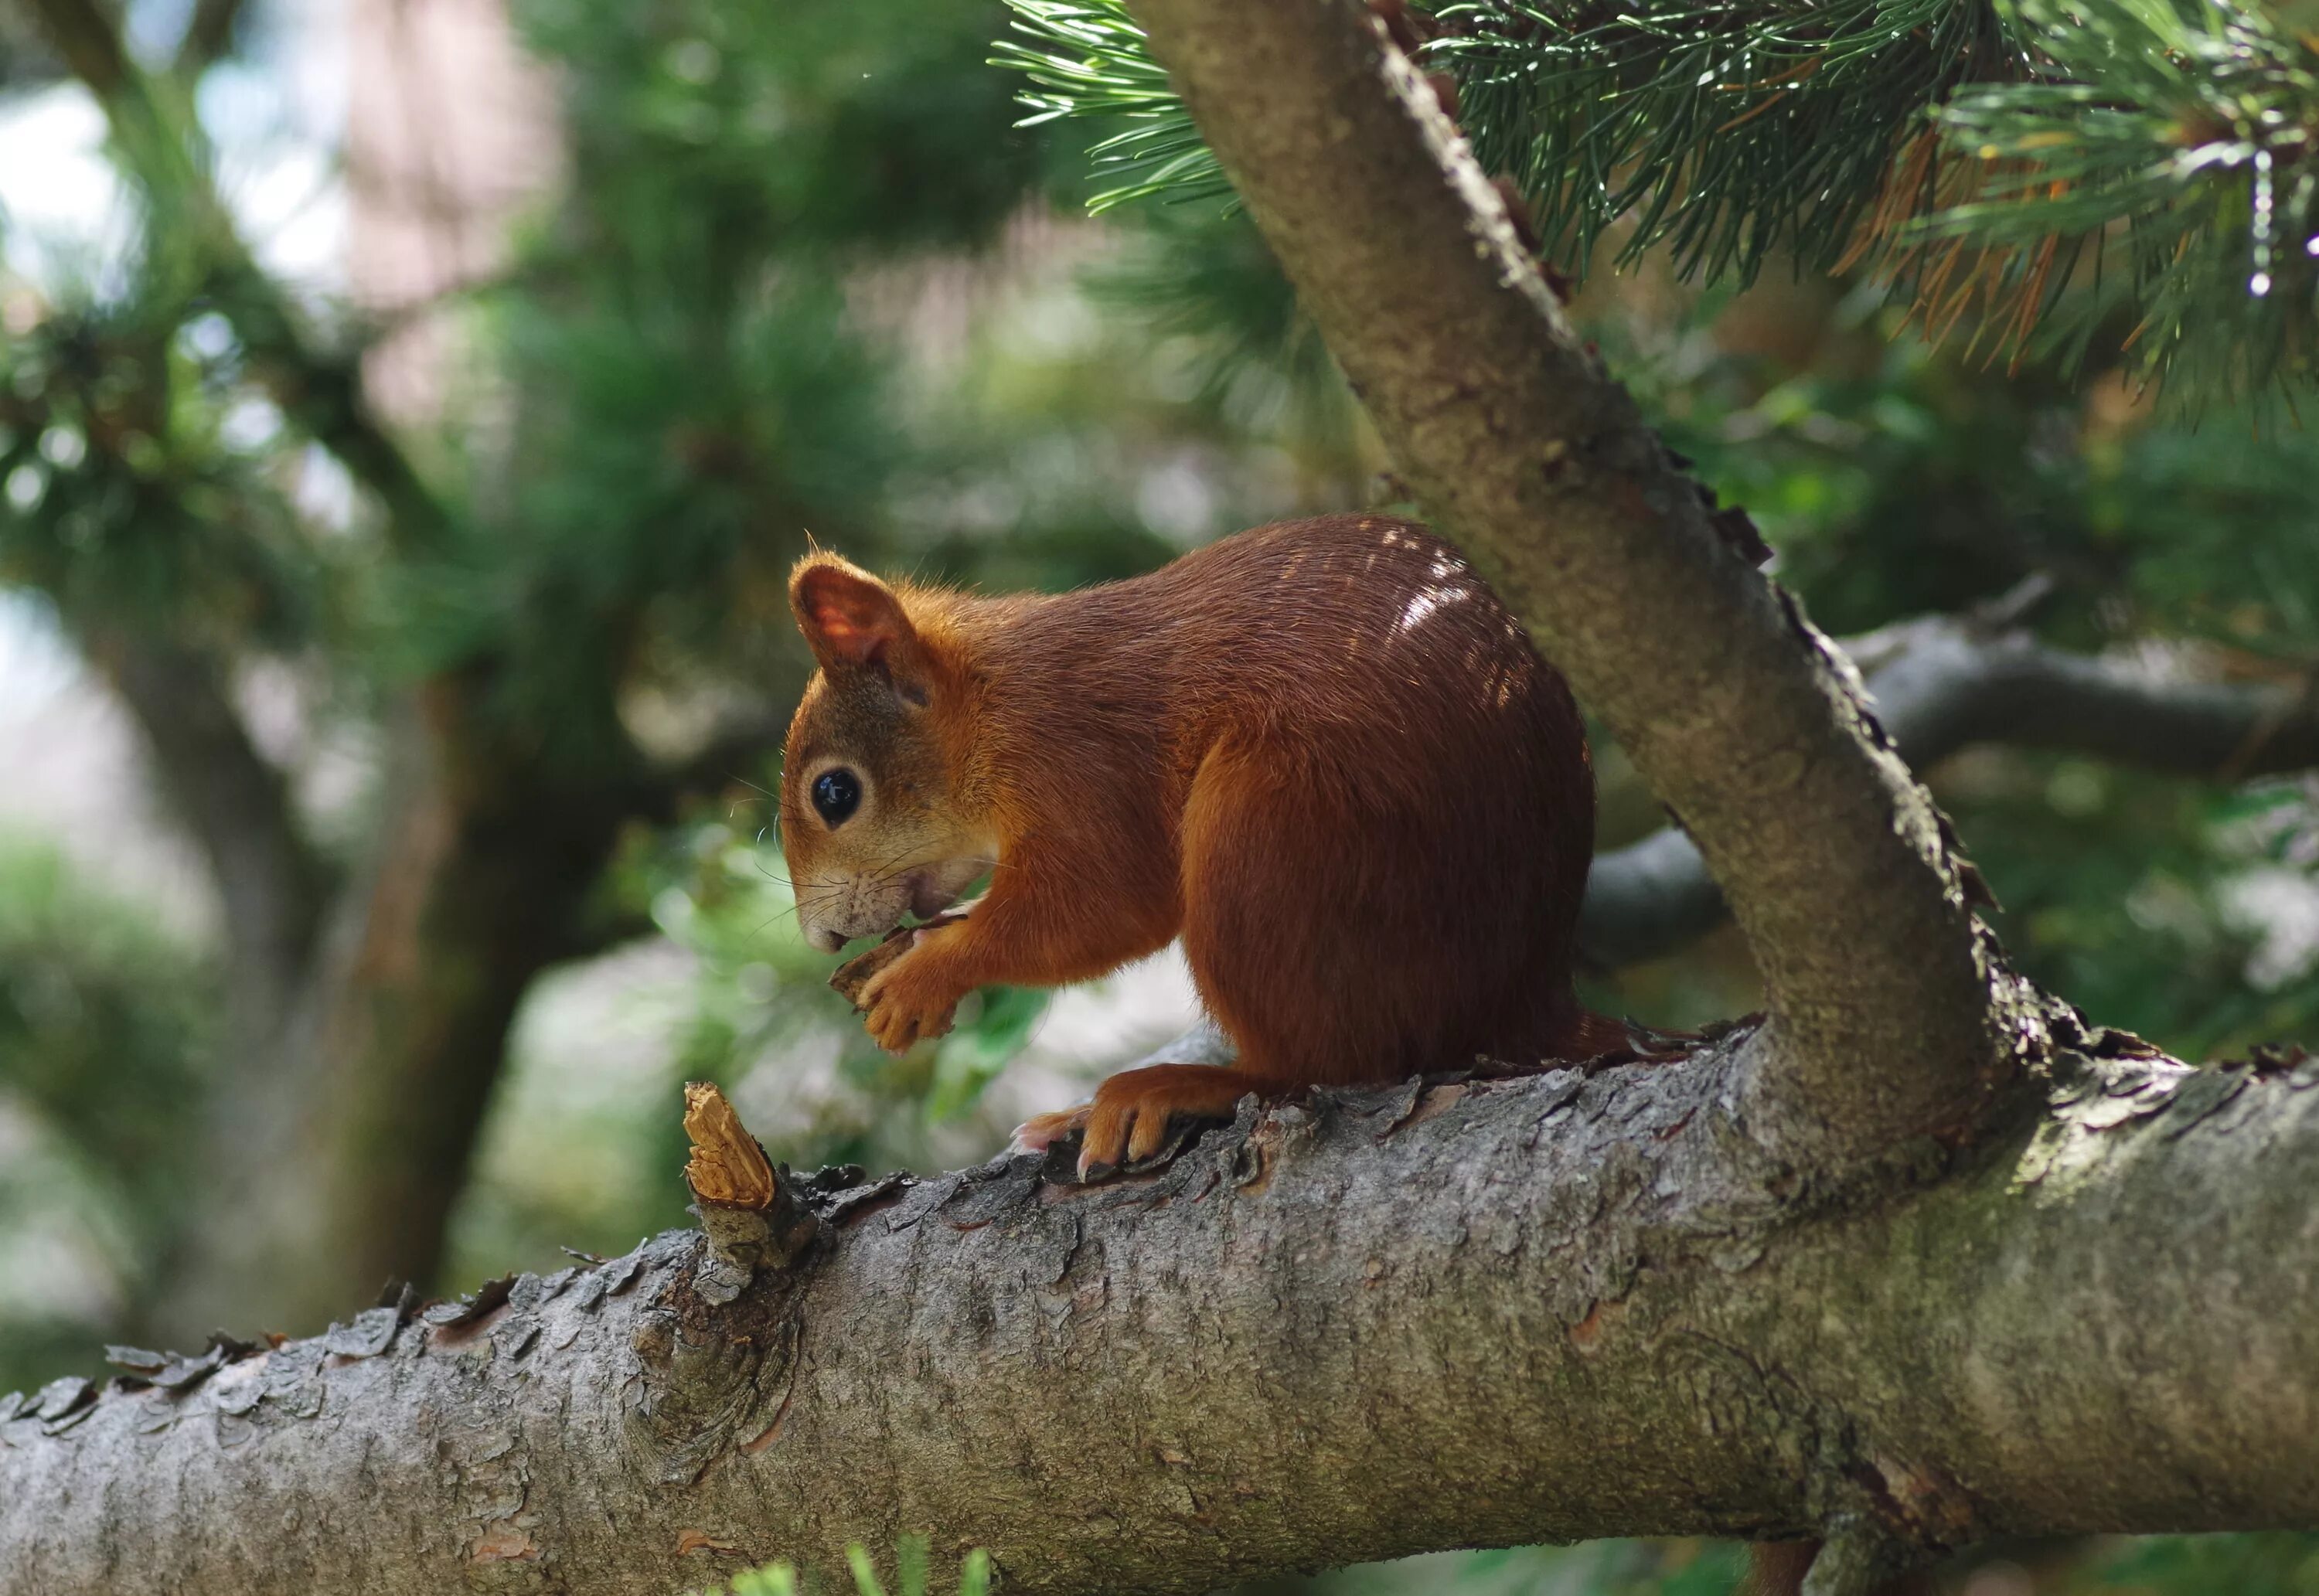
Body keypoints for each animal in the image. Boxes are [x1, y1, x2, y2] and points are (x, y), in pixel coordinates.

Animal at [775, 510, 1614, 1173]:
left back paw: (1177, 1087)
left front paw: (925, 975)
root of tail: (1529, 994)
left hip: (1272, 835)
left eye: (835, 793)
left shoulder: (1076, 760)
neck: (987, 700)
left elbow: (1104, 907)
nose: (820, 939)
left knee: (1337, 1063)